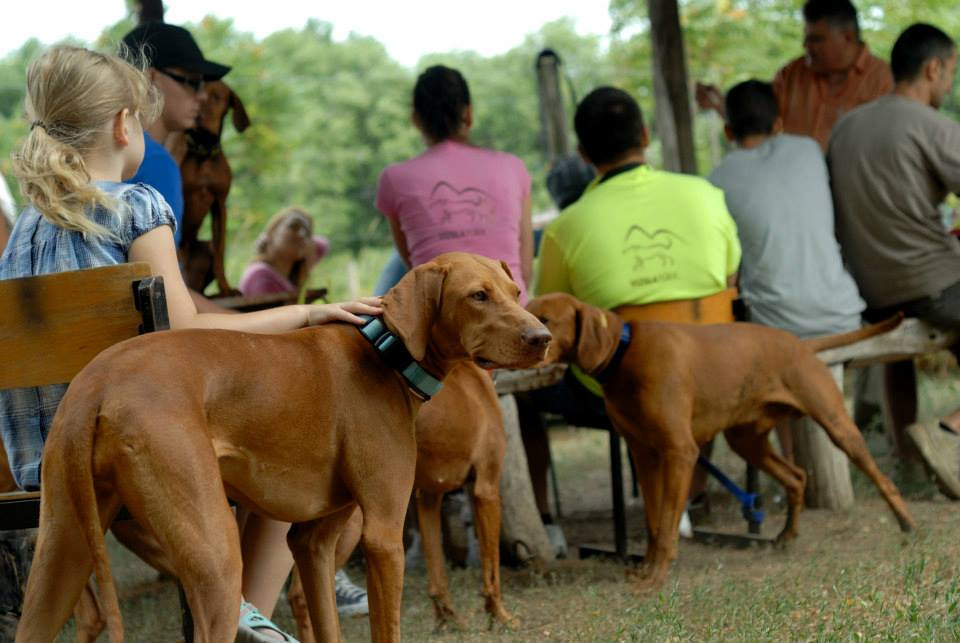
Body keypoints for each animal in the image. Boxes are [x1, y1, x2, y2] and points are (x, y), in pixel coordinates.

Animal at [15, 253, 552, 643]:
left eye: (514, 292)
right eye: (477, 296)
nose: (542, 337)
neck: (385, 353)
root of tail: (97, 382)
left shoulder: (312, 542)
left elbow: (327, 624)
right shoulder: (382, 535)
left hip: (61, 554)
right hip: (216, 564)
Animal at [524, 294, 916, 592]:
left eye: (546, 318)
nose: (528, 336)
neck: (625, 353)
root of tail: (801, 343)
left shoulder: (680, 452)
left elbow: (667, 525)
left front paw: (656, 578)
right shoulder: (644, 454)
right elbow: (654, 522)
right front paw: (646, 568)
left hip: (837, 425)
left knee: (882, 478)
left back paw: (907, 524)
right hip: (747, 442)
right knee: (797, 477)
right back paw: (786, 536)